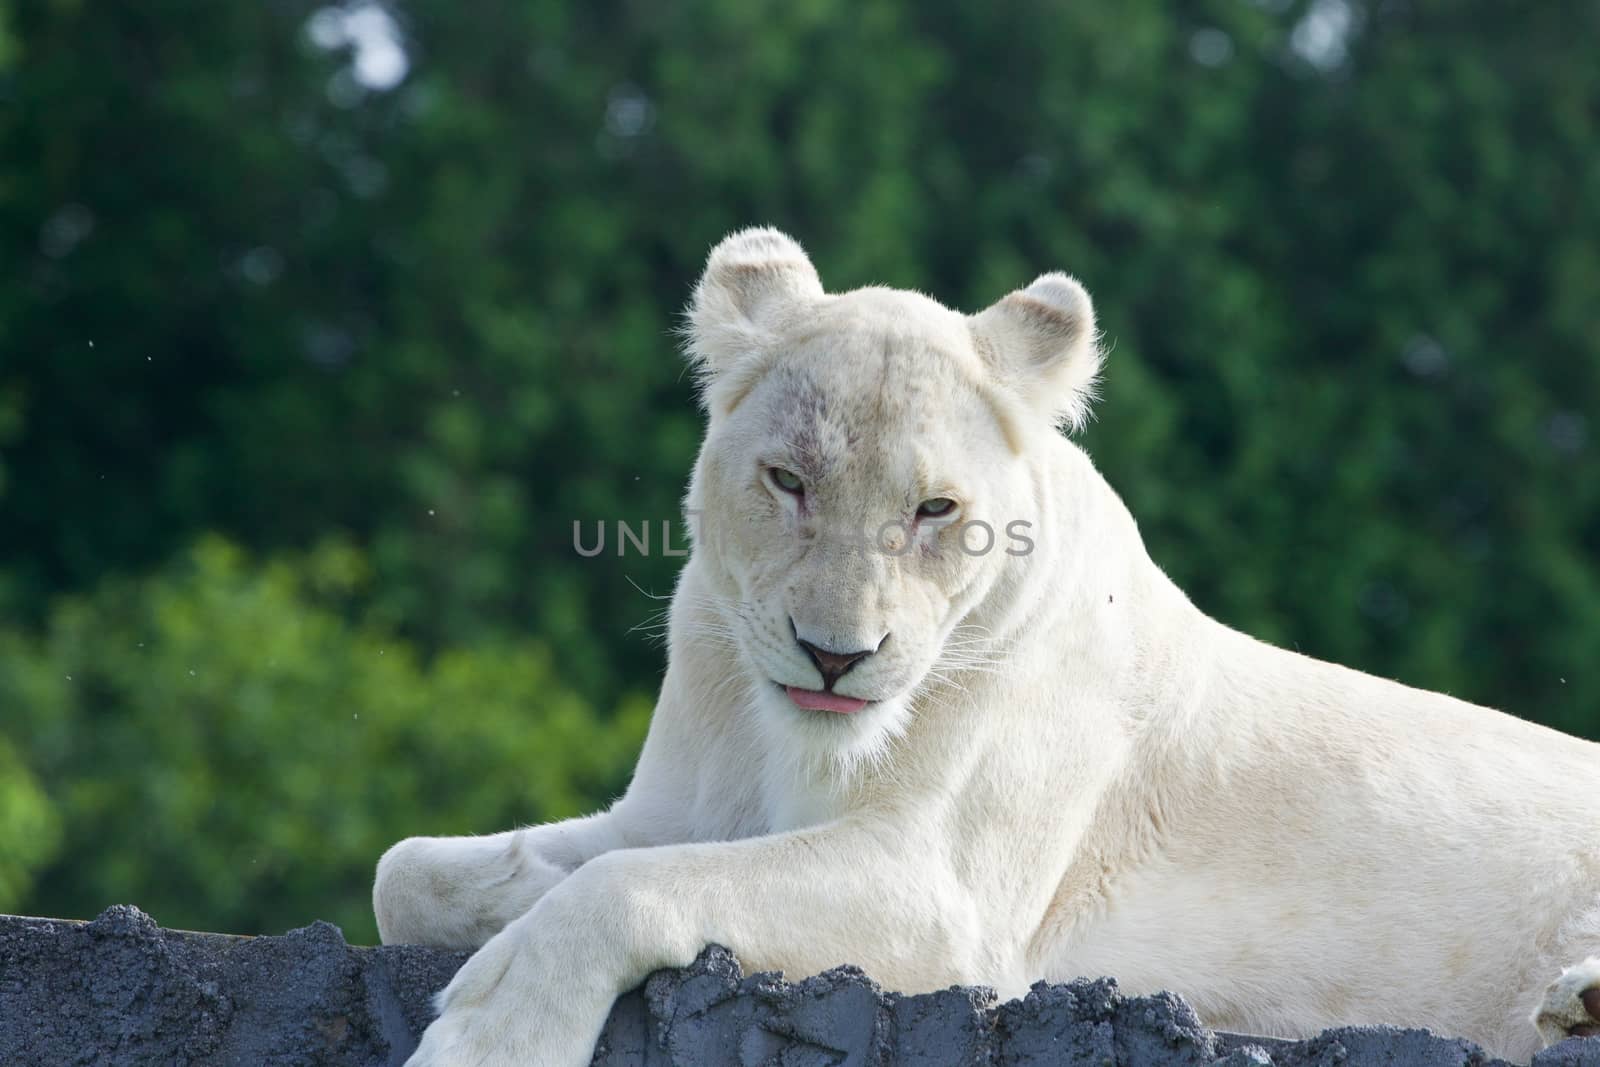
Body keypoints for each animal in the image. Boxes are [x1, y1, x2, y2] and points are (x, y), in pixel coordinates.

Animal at [368, 230, 1600, 1062]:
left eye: (933, 509)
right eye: (789, 479)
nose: (834, 655)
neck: (782, 738)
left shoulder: (942, 890)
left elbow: (625, 887)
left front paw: (491, 1032)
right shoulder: (673, 807)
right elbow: (409, 871)